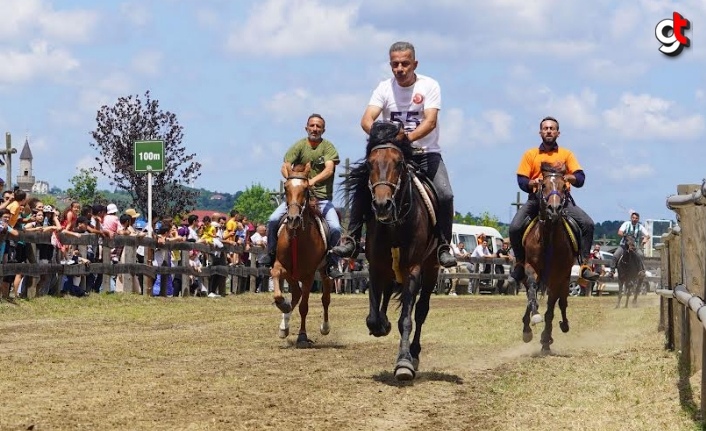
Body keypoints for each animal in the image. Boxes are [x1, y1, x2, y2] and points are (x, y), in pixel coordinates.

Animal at [272, 164, 332, 350]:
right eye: (286, 188)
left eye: (305, 189)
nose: (293, 219)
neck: (297, 237)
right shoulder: (281, 266)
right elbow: (277, 281)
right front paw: (283, 305)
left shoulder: (308, 275)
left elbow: (304, 307)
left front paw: (302, 337)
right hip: (293, 274)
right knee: (296, 294)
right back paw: (283, 326)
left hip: (323, 271)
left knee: (325, 297)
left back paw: (325, 327)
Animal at [340, 121, 440, 382]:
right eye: (370, 164)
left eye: (398, 163)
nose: (382, 205)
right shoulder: (375, 267)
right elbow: (373, 314)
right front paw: (381, 326)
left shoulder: (413, 269)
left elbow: (406, 319)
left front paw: (404, 363)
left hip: (431, 269)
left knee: (421, 311)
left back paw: (414, 354)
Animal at [516, 162, 576, 354]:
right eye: (543, 185)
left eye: (564, 186)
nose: (554, 209)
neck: (548, 237)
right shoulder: (531, 268)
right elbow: (532, 293)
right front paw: (533, 320)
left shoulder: (557, 278)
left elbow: (551, 310)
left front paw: (545, 340)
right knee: (531, 295)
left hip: (564, 280)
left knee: (562, 304)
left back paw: (562, 326)